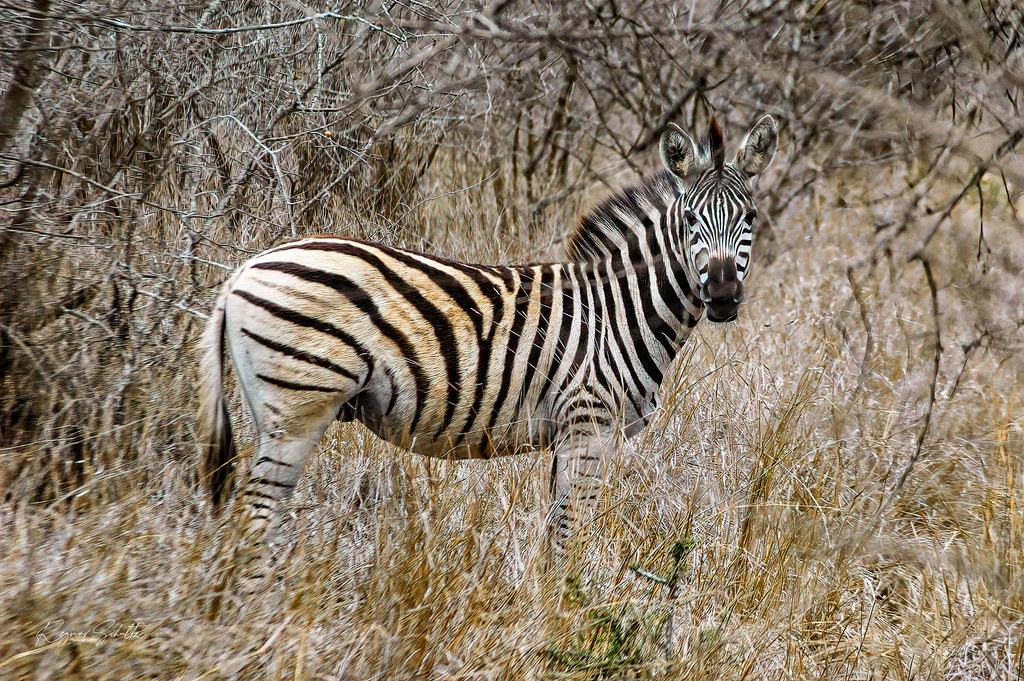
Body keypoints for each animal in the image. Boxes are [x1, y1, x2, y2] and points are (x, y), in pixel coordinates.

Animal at [198, 114, 778, 573]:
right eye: (690, 219)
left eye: (750, 218)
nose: (722, 297)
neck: (619, 309)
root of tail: (245, 268)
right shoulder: (587, 424)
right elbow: (572, 537)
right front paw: (568, 619)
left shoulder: (566, 433)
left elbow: (555, 533)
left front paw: (548, 607)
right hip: (298, 407)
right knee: (255, 520)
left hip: (276, 410)